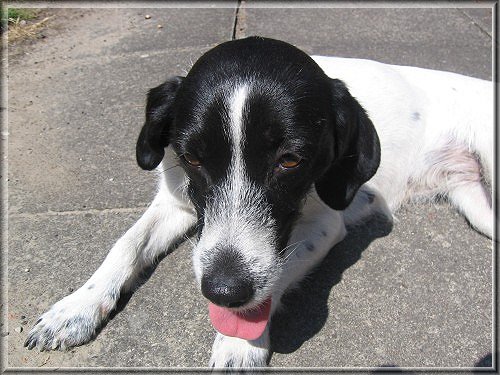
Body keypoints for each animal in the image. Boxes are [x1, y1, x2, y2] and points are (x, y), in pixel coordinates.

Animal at [23, 36, 492, 368]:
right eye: (192, 157)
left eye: (290, 160)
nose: (222, 291)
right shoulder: (175, 203)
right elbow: (126, 244)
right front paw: (76, 308)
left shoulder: (324, 224)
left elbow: (274, 273)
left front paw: (238, 339)